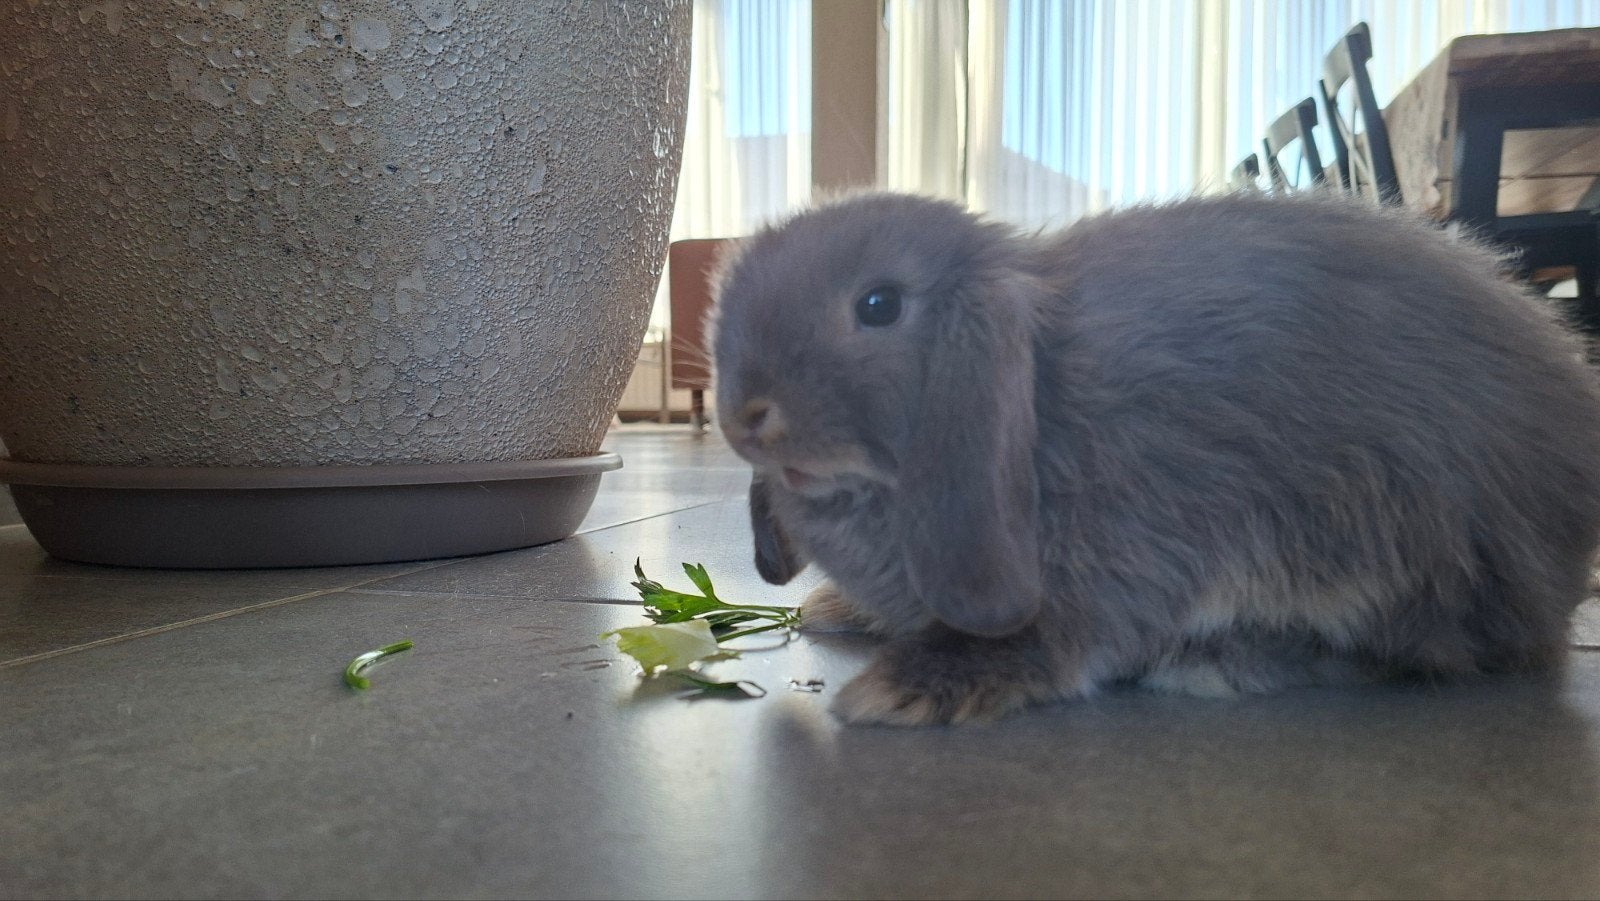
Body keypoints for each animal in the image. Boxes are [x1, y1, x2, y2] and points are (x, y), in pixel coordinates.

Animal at [708, 190, 1600, 727]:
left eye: (878, 304)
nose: (743, 415)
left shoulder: (1132, 550)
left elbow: (1067, 637)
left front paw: (907, 687)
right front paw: (842, 610)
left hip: (1402, 534)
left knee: (1425, 652)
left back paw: (1213, 661)